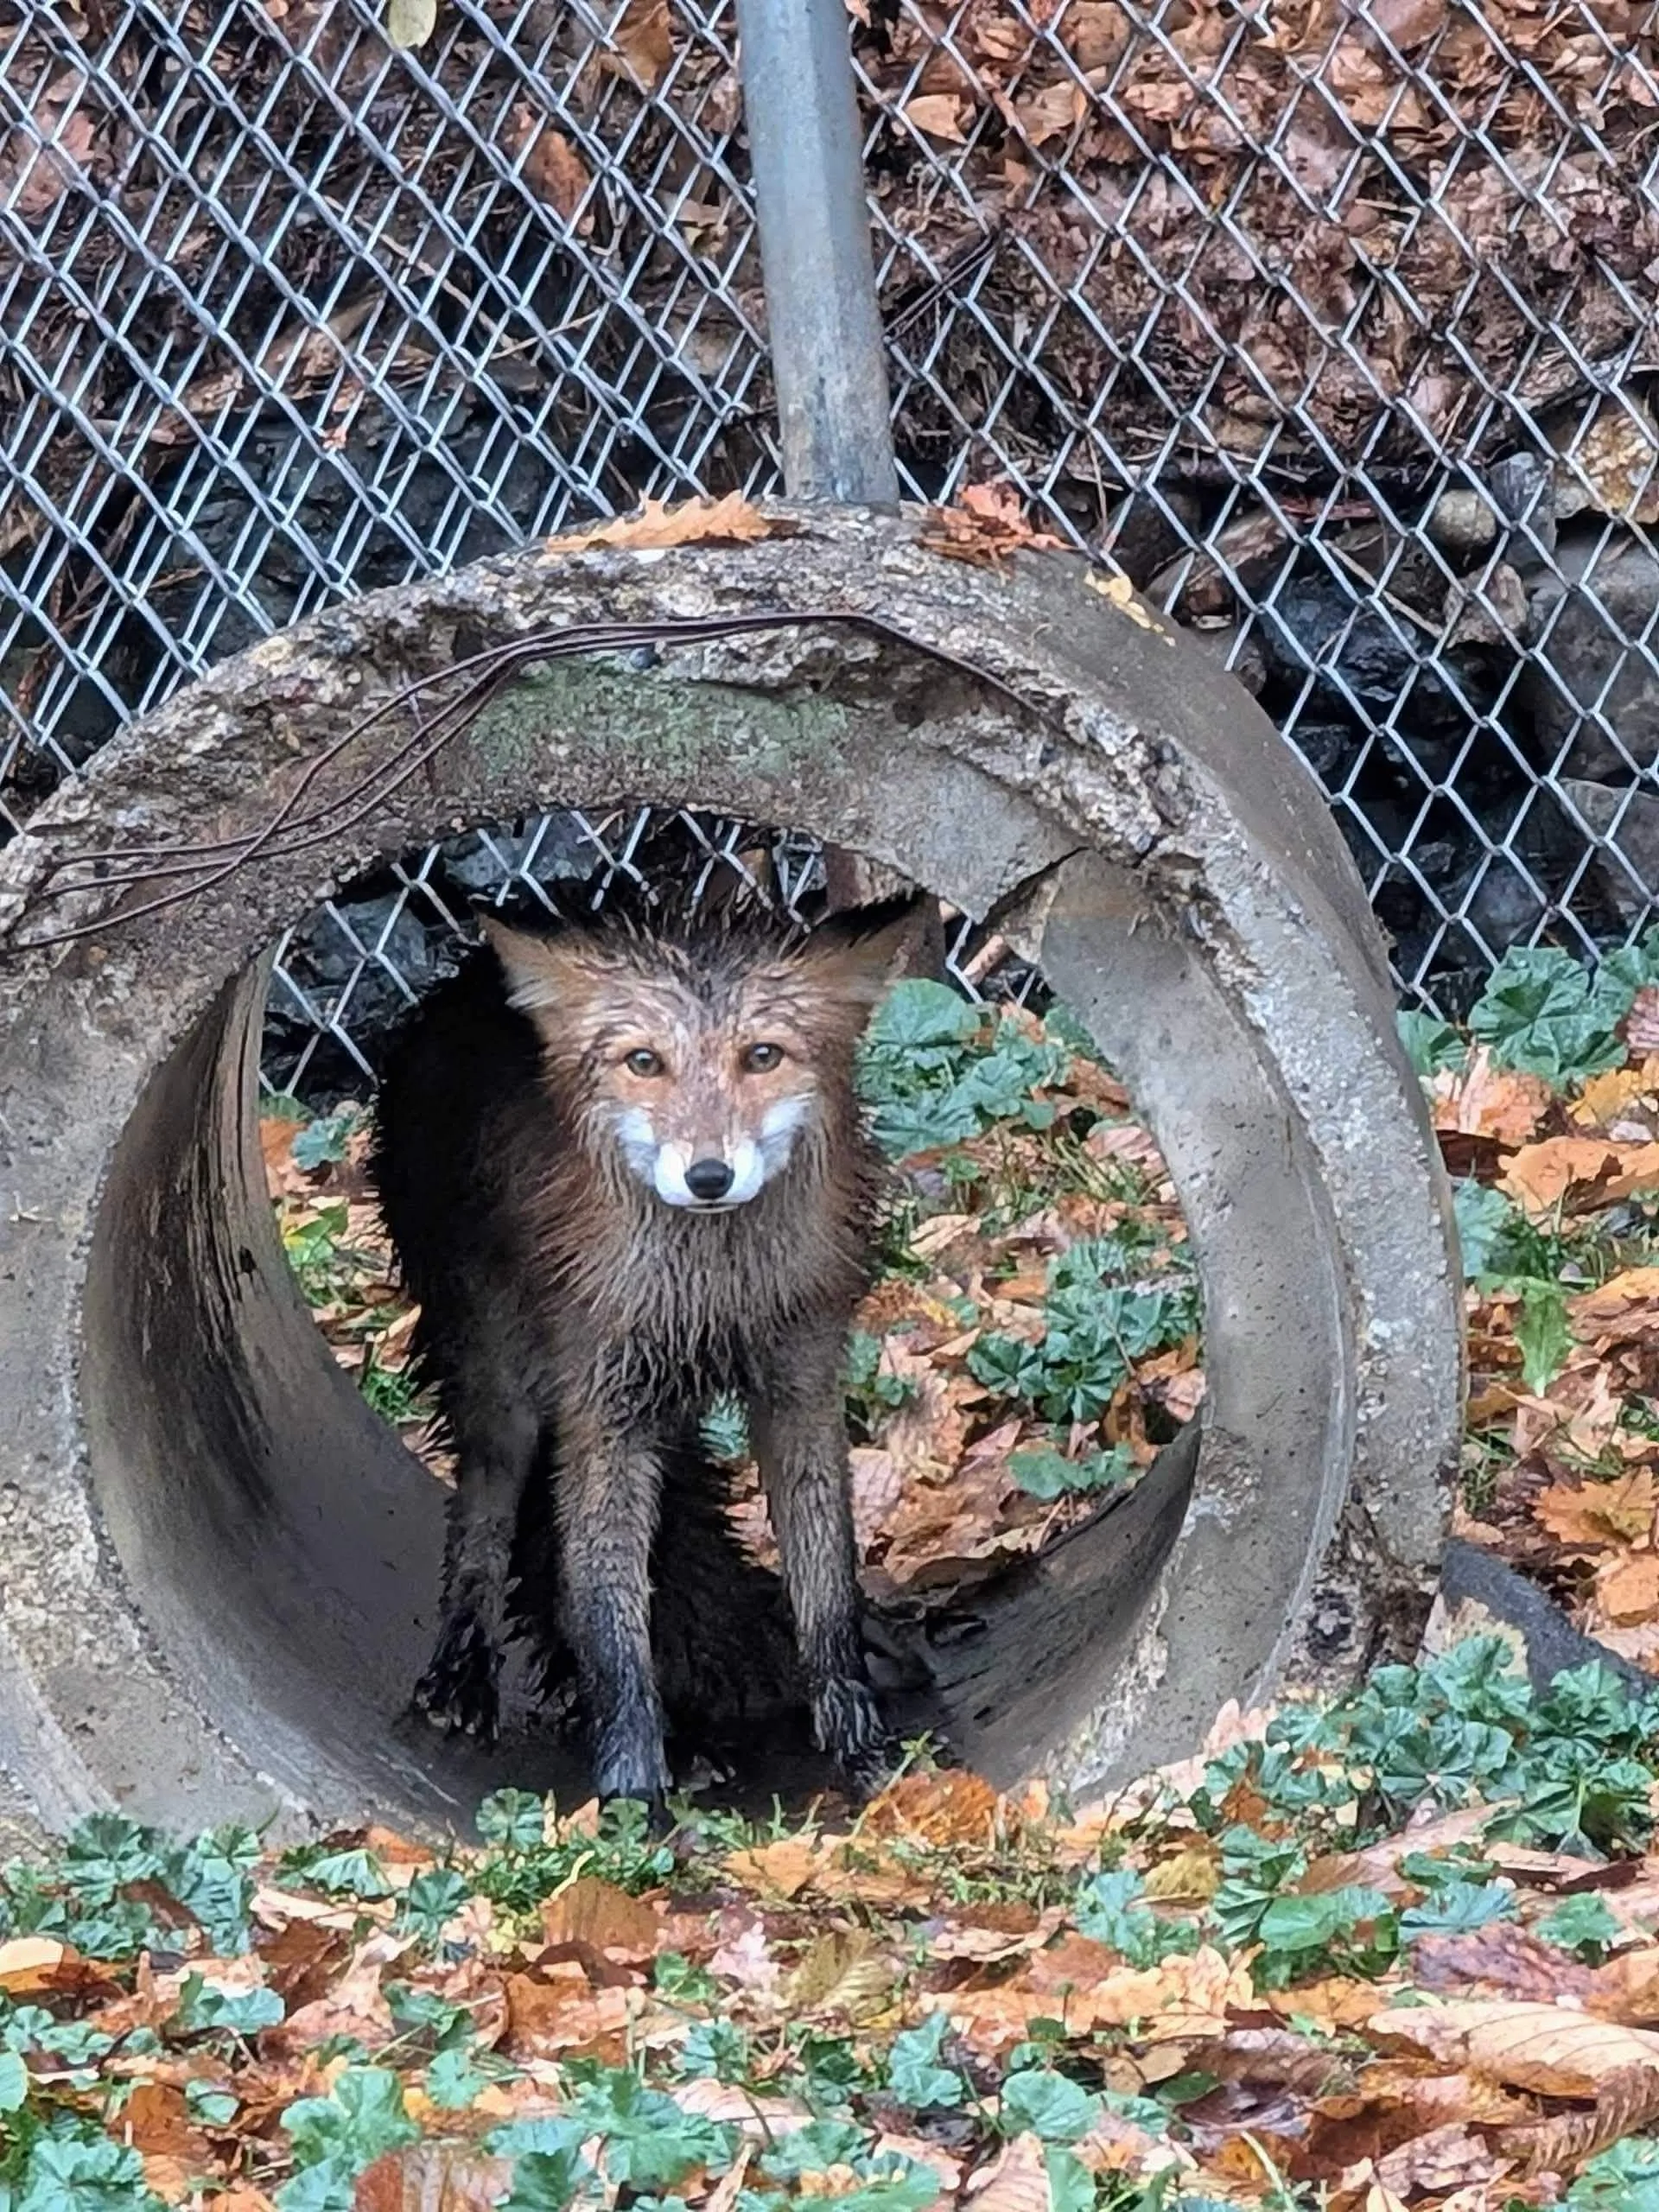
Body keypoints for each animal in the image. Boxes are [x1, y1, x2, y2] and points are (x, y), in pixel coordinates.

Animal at [368, 884, 923, 1808]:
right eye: (643, 1063)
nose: (707, 1177)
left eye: (762, 1056)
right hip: (504, 1389)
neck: (708, 1300)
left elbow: (826, 1591)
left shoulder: (799, 1381)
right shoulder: (604, 1404)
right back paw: (462, 1676)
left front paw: (862, 1748)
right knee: (484, 1518)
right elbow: (608, 1617)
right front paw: (631, 1788)